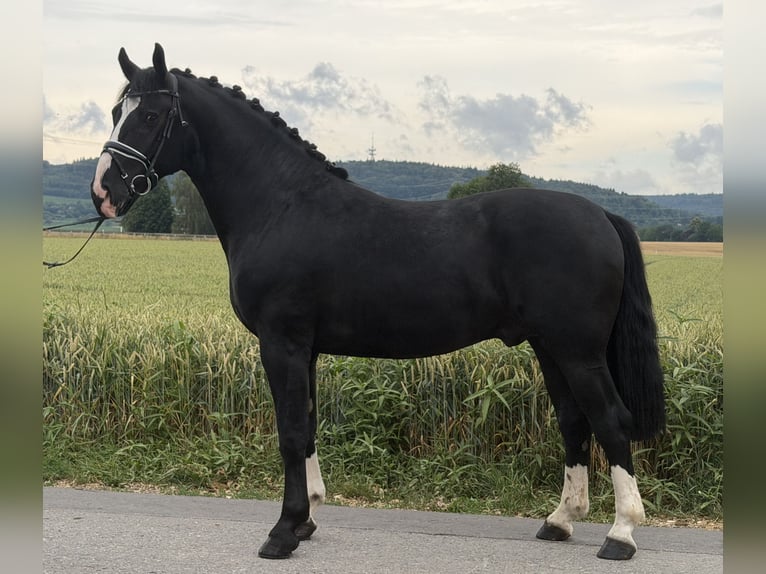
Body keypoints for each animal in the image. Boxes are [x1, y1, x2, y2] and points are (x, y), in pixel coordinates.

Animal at [90, 43, 665, 561]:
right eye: (117, 112)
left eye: (150, 115)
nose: (104, 191)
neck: (282, 205)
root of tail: (600, 215)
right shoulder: (305, 349)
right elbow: (308, 426)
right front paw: (307, 521)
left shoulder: (282, 343)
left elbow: (290, 432)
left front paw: (283, 532)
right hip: (550, 348)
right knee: (574, 421)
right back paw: (560, 521)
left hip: (577, 351)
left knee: (611, 419)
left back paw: (621, 535)